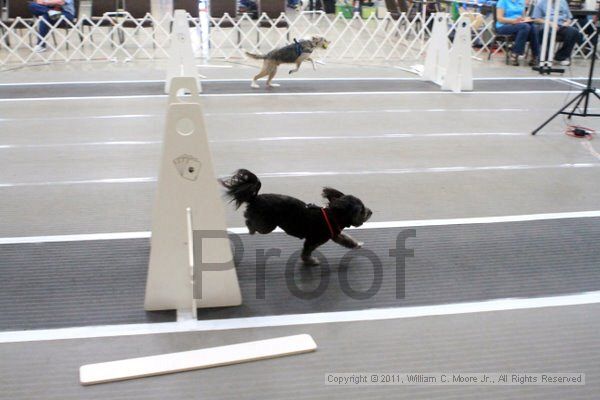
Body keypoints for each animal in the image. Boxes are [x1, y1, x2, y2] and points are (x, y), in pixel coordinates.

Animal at [219, 169, 370, 266]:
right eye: (362, 210)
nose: (371, 212)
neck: (333, 216)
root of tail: (255, 198)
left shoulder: (336, 235)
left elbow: (347, 240)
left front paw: (357, 245)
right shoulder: (312, 241)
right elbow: (306, 253)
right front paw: (310, 262)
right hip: (267, 225)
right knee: (250, 220)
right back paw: (250, 227)